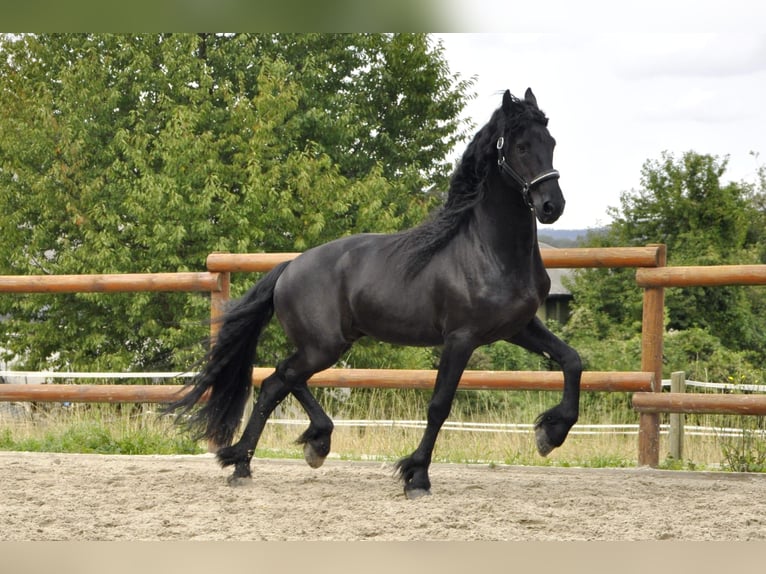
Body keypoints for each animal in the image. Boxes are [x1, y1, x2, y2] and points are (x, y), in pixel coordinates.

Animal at [168, 89, 584, 500]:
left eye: (550, 142)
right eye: (521, 146)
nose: (552, 206)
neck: (489, 251)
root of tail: (289, 266)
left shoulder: (518, 327)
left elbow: (572, 361)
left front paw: (550, 433)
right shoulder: (460, 338)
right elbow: (439, 405)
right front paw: (416, 477)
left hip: (327, 344)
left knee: (282, 380)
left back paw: (298, 449)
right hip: (323, 346)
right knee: (277, 382)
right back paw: (251, 462)